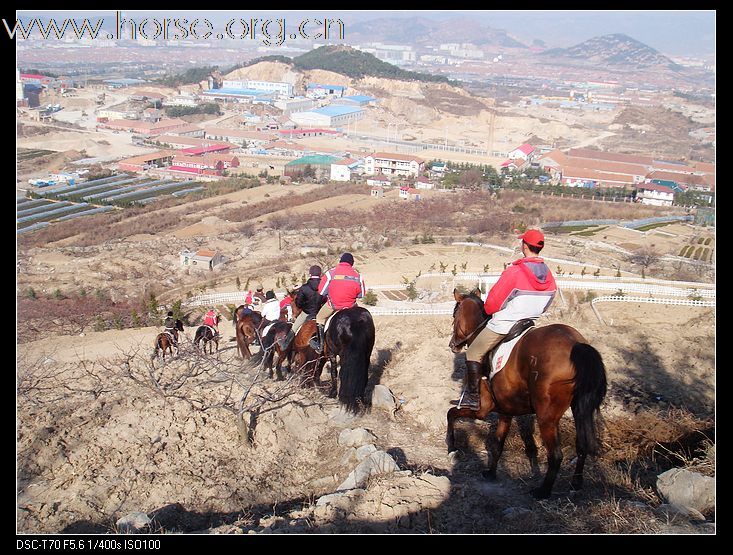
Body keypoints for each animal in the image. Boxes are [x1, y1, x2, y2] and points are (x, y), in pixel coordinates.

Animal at [446, 288, 608, 502]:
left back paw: (543, 491)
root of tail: (578, 344)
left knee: (556, 455)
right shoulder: (505, 411)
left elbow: (451, 414)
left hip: (547, 416)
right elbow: (498, 443)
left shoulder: (483, 409)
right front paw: (491, 473)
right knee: (581, 445)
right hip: (579, 408)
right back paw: (576, 484)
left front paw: (451, 448)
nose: (453, 345)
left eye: (454, 315)